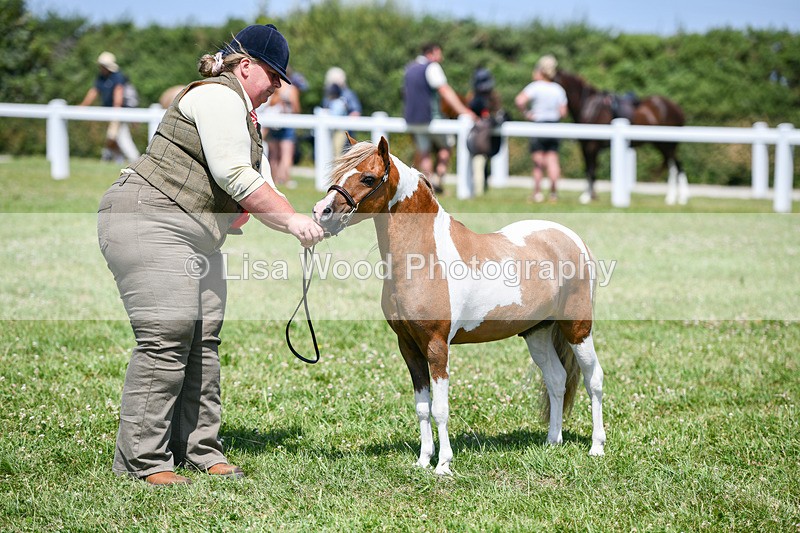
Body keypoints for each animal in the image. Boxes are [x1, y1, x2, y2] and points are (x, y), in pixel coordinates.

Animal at [312, 134, 606, 475]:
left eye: (368, 178)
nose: (321, 212)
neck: (424, 258)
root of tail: (572, 239)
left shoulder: (437, 346)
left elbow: (440, 408)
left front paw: (443, 465)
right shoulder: (408, 345)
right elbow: (422, 407)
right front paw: (423, 460)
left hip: (578, 330)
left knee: (593, 379)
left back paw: (596, 447)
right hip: (538, 332)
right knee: (557, 379)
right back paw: (552, 441)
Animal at [553, 71, 688, 205]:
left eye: (552, 81)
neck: (588, 106)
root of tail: (678, 109)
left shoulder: (591, 146)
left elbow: (590, 170)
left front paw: (586, 197)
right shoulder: (585, 146)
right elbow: (590, 169)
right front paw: (592, 196)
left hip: (667, 145)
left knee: (676, 167)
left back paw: (678, 198)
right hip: (662, 145)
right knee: (674, 166)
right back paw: (674, 198)